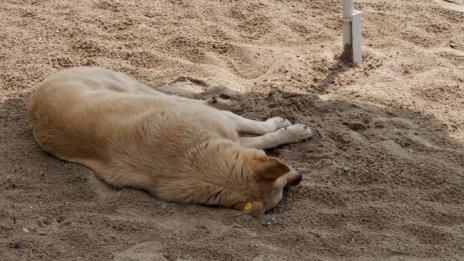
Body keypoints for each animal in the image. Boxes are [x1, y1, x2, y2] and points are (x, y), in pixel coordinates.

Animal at [28, 66, 312, 215]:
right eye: (283, 187)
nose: (299, 178)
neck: (194, 156)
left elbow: (256, 135)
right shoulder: (228, 129)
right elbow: (263, 132)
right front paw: (291, 129)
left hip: (135, 89)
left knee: (179, 96)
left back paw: (220, 98)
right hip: (134, 89)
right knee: (180, 98)